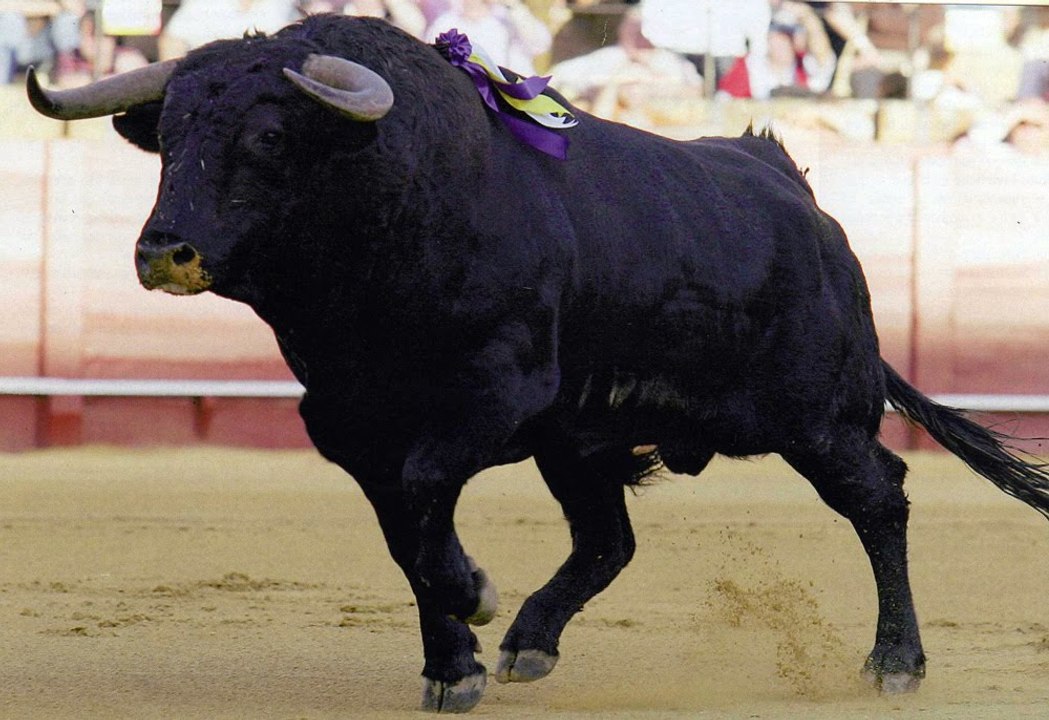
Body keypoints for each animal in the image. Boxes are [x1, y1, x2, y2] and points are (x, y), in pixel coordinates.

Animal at [26, 14, 1049, 714]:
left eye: (269, 137)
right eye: (166, 138)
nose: (164, 251)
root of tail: (796, 192)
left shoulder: (499, 394)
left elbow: (426, 491)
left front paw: (472, 598)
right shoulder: (347, 423)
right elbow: (404, 528)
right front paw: (455, 663)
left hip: (816, 417)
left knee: (879, 499)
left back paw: (896, 663)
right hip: (586, 442)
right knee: (608, 540)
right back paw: (529, 642)